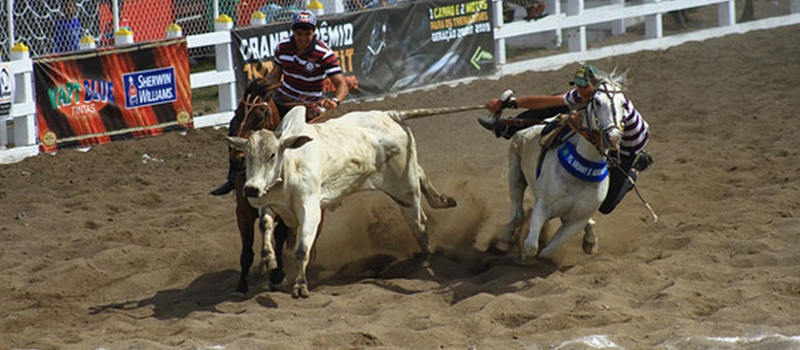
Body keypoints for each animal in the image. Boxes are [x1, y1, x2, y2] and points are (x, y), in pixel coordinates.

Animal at [228, 106, 460, 298]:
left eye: (272, 155)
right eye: (248, 156)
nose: (251, 188)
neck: (290, 165)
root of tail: (390, 115)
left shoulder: (311, 211)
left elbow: (302, 249)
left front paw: (300, 286)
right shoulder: (270, 205)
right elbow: (265, 225)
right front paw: (269, 259)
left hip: (405, 190)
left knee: (420, 224)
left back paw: (425, 260)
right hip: (407, 179)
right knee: (420, 176)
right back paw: (443, 201)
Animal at [494, 71, 632, 262]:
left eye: (623, 103)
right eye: (597, 102)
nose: (613, 136)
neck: (580, 174)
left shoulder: (577, 221)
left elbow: (548, 251)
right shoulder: (542, 206)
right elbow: (531, 246)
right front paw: (524, 256)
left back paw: (590, 241)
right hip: (515, 173)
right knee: (517, 213)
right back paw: (504, 240)